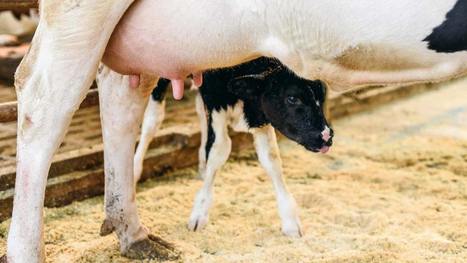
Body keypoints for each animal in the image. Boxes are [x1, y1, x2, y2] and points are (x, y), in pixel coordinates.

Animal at [133, 57, 334, 237]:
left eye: (322, 94)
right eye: (292, 98)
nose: (326, 136)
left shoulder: (259, 113)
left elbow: (271, 158)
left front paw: (290, 222)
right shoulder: (215, 96)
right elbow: (220, 149)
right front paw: (199, 212)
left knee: (199, 111)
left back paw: (202, 165)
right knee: (152, 121)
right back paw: (135, 171)